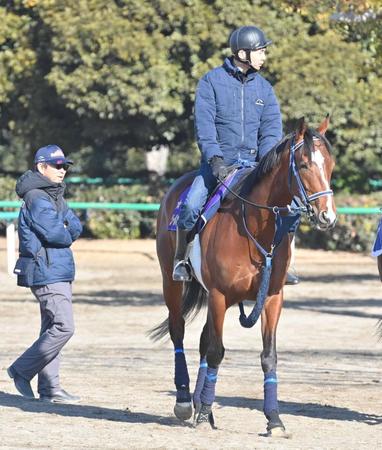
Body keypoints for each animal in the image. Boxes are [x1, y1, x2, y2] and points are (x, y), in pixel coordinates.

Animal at [151, 117, 336, 436]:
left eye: (331, 164)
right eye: (303, 165)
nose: (327, 215)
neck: (255, 227)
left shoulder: (272, 298)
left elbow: (268, 356)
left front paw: (274, 419)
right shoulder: (219, 295)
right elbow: (216, 351)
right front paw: (202, 413)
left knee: (203, 340)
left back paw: (201, 404)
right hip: (172, 283)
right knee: (179, 332)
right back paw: (186, 402)